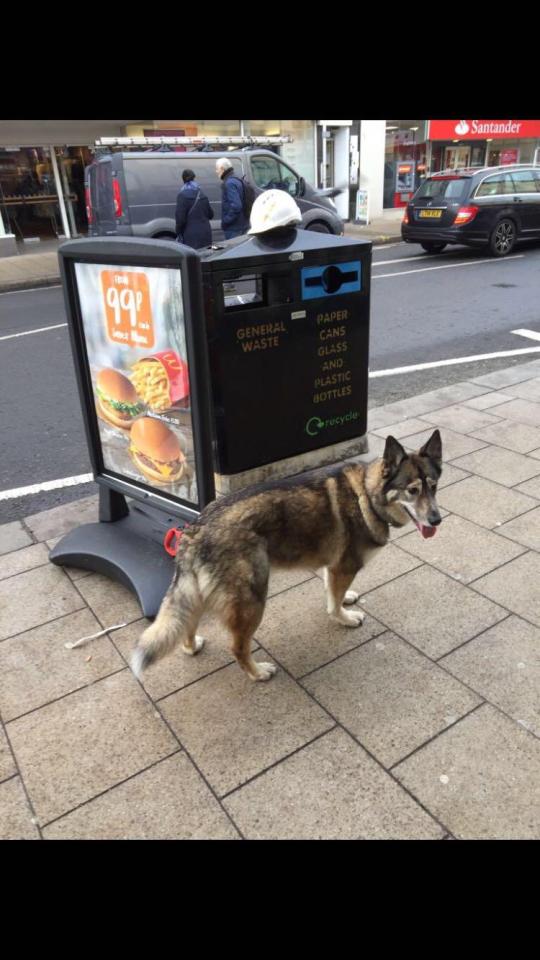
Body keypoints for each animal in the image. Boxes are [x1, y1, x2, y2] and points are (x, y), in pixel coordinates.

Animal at [132, 428, 442, 684]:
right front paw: (344, 618)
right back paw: (257, 673)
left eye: (434, 486)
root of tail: (195, 528)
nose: (437, 520)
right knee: (238, 646)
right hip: (253, 599)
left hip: (200, 593)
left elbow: (332, 590)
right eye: (412, 490)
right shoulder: (344, 566)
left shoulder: (333, 566)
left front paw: (345, 598)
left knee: (188, 621)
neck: (367, 494)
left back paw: (192, 646)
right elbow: (334, 604)